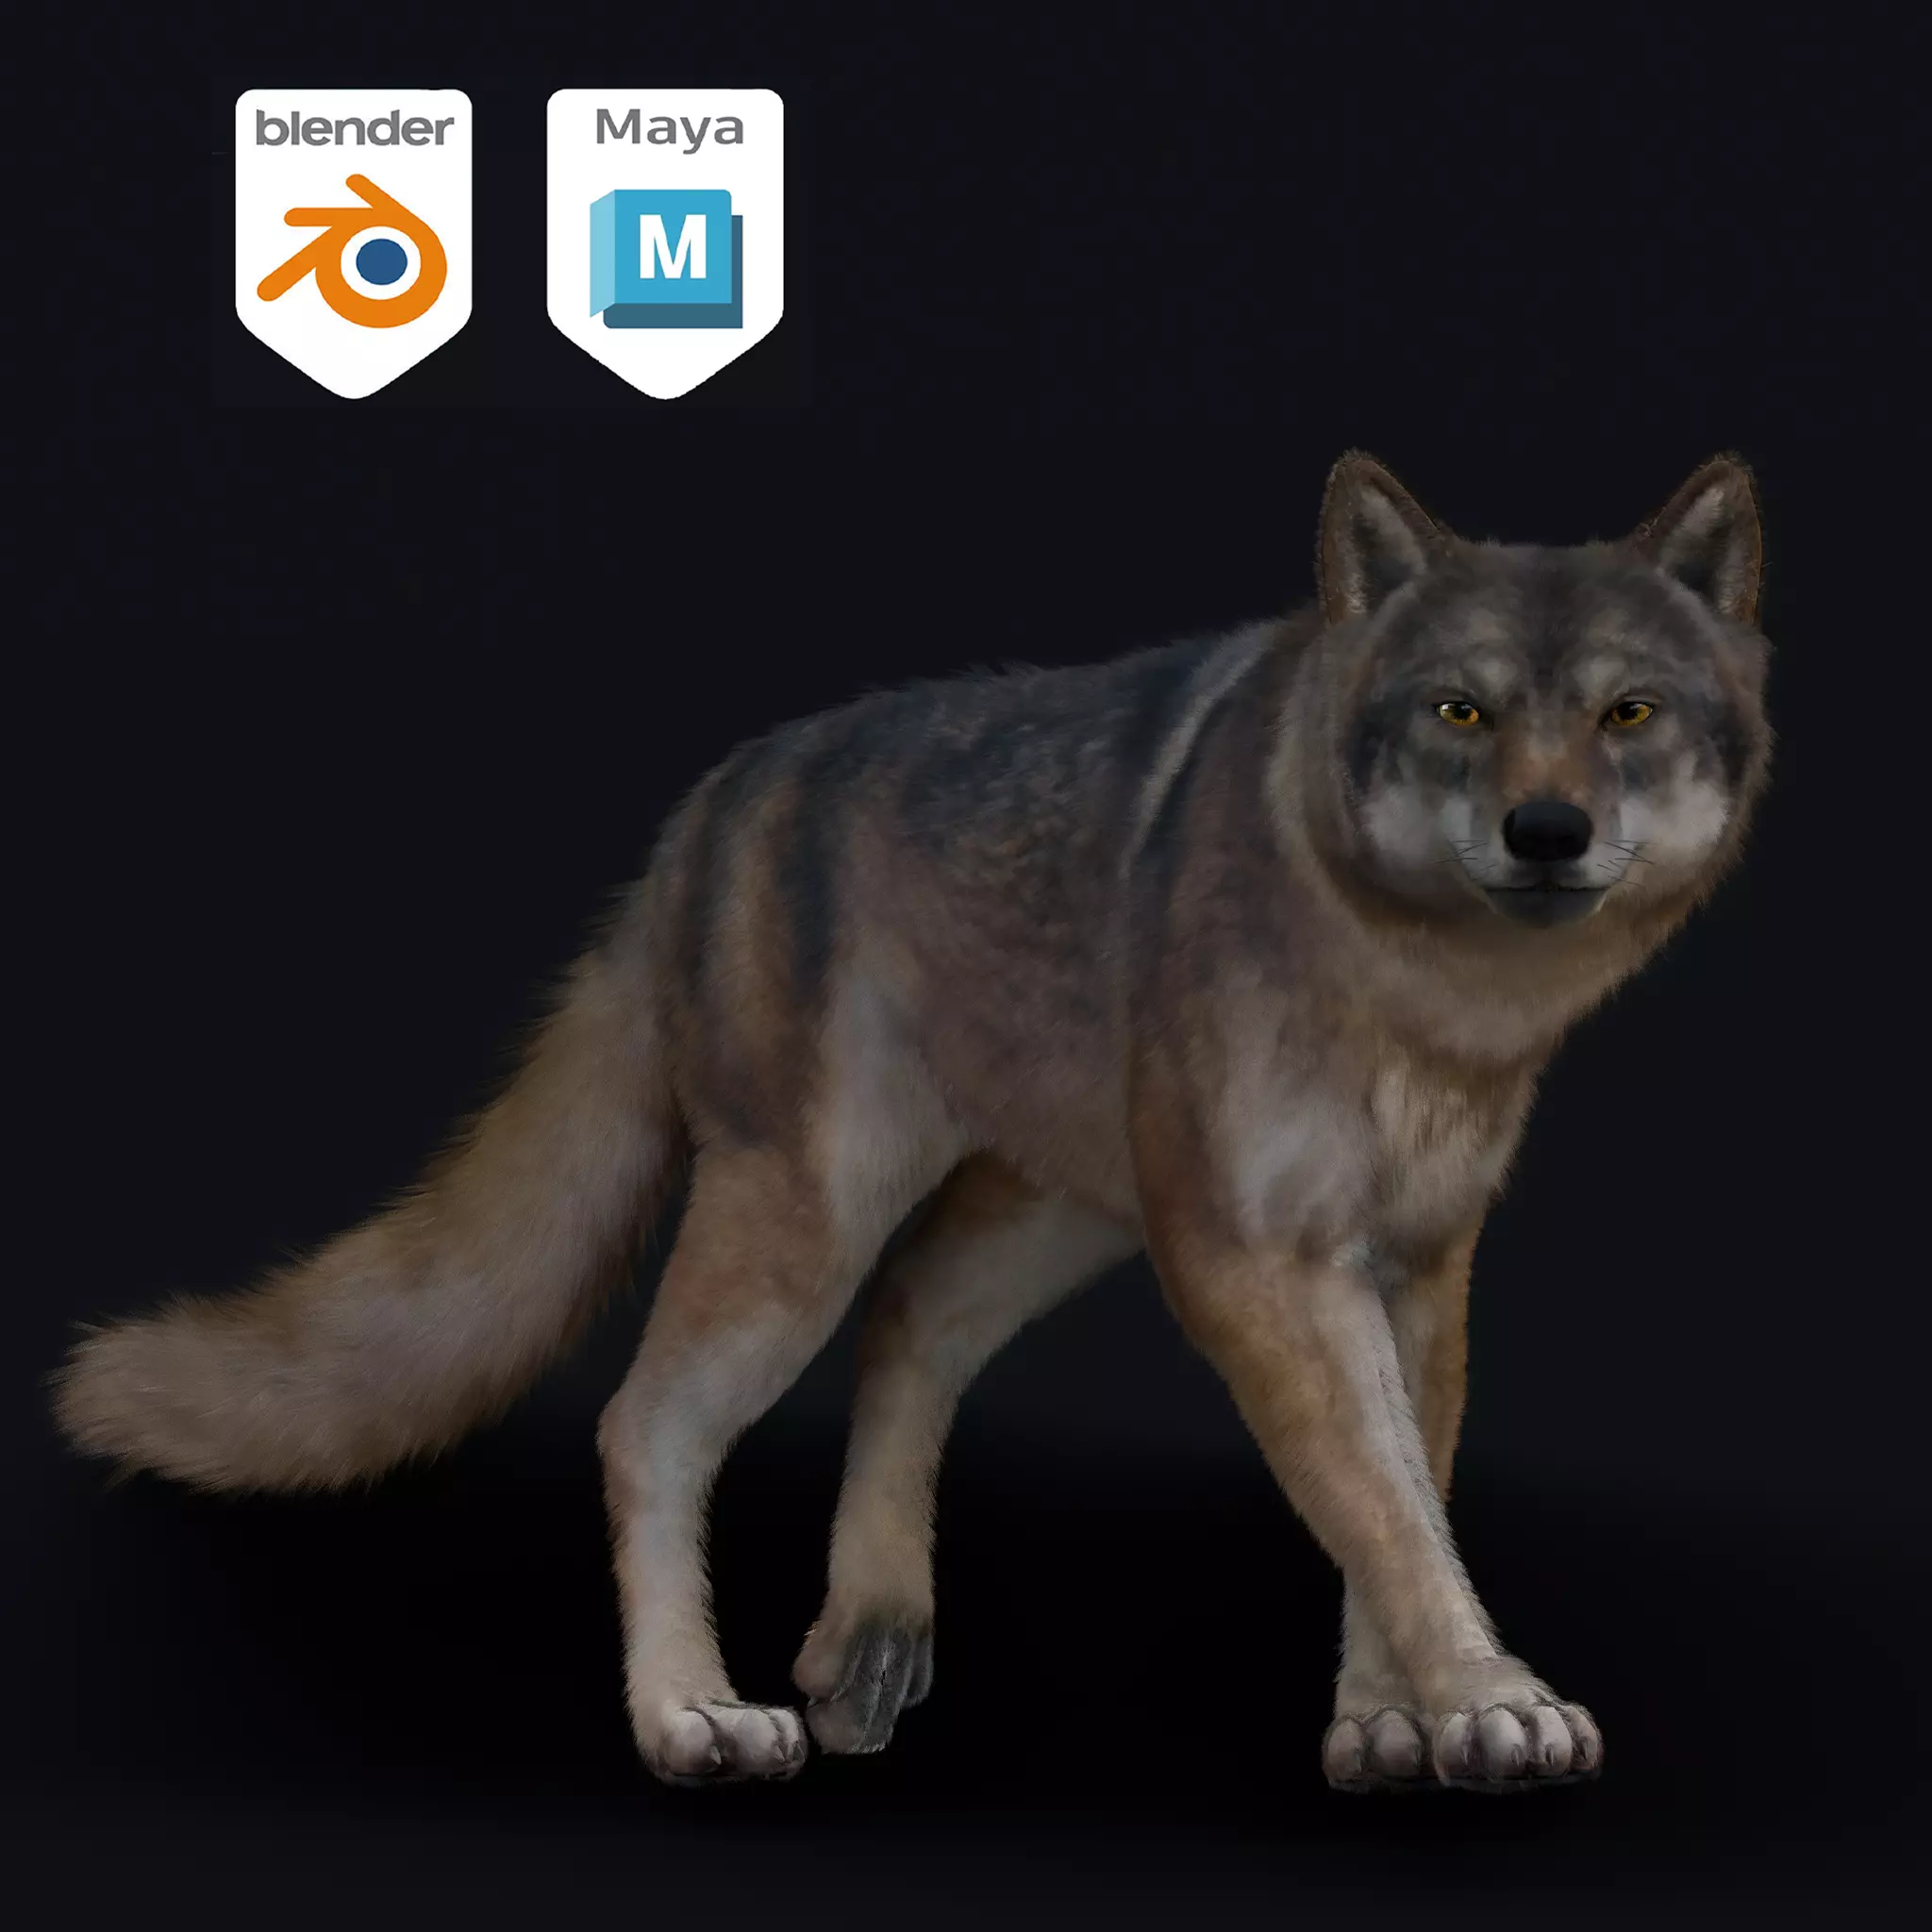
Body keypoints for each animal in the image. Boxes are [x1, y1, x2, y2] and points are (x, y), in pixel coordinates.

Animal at [54, 452, 1772, 1794]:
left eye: (1626, 711)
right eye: (1461, 710)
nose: (1544, 830)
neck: (1418, 996)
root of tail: (706, 809)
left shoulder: (1412, 1263)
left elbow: (1394, 1499)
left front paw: (1389, 1725)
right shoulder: (1258, 1262)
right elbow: (1379, 1502)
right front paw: (1486, 1701)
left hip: (1049, 1219)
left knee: (904, 1317)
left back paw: (872, 1622)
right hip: (819, 1216)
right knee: (646, 1420)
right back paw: (692, 1712)